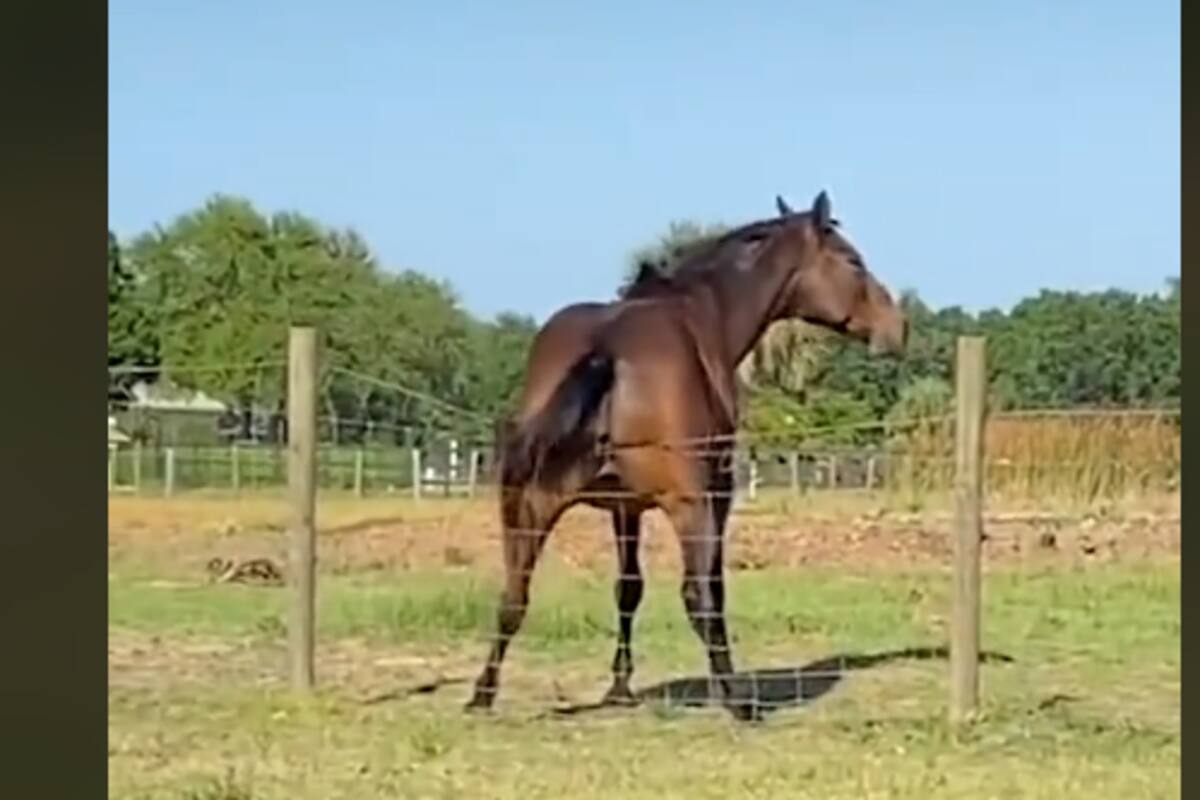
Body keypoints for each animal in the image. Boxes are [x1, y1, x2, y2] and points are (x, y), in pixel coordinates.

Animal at [465, 191, 908, 720]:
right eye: (851, 260)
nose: (896, 326)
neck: (704, 314)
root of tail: (606, 350)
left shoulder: (624, 507)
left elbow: (627, 588)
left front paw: (620, 686)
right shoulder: (717, 497)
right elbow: (712, 590)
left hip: (529, 503)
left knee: (514, 594)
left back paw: (482, 695)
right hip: (687, 507)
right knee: (697, 595)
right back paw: (739, 702)